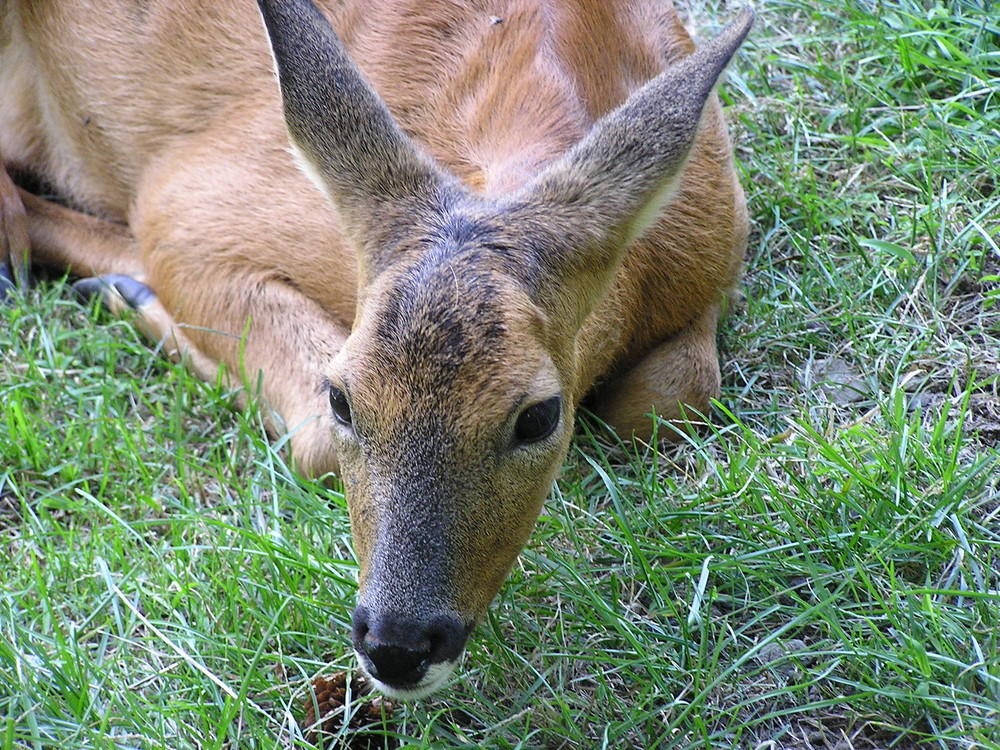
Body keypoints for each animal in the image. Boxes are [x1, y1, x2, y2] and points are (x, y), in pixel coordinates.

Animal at [1, 0, 752, 700]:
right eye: (343, 397)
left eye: (539, 416)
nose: (396, 644)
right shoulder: (185, 203)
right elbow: (309, 440)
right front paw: (135, 293)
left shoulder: (719, 251)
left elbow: (677, 395)